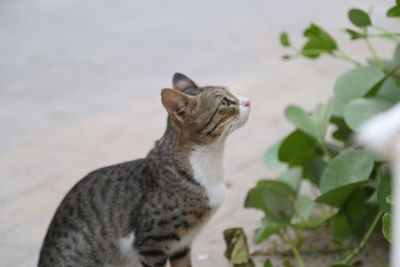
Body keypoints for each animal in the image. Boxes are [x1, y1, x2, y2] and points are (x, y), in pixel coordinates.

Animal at [37, 73, 250, 267]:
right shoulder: (151, 243)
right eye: (224, 101)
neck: (210, 162)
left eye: (231, 93)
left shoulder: (182, 245)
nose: (248, 101)